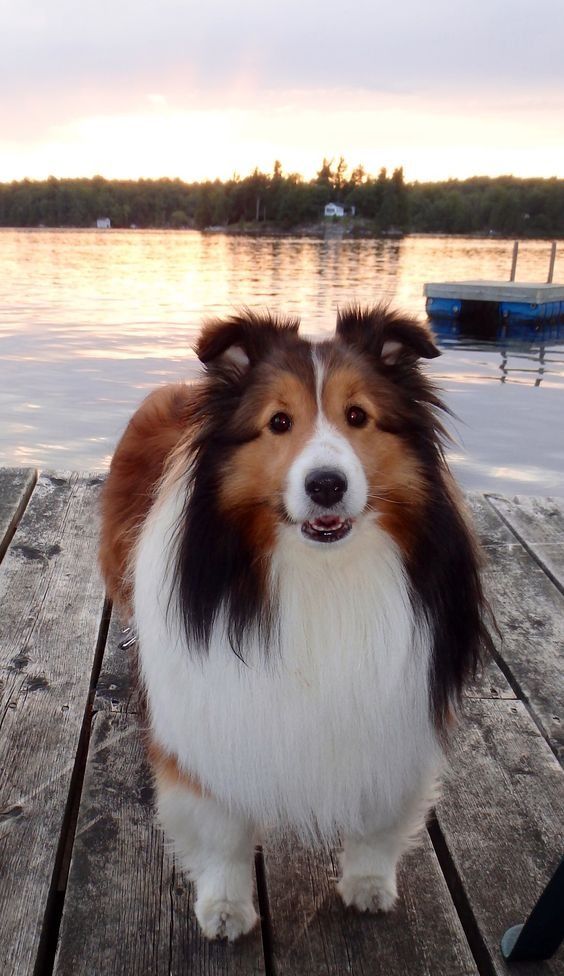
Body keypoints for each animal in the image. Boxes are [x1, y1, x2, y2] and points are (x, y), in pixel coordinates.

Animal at [99, 308, 492, 940]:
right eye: (278, 422)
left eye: (358, 416)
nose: (326, 484)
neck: (320, 573)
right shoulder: (209, 715)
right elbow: (222, 830)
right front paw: (226, 905)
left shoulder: (395, 712)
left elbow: (378, 814)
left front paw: (368, 883)